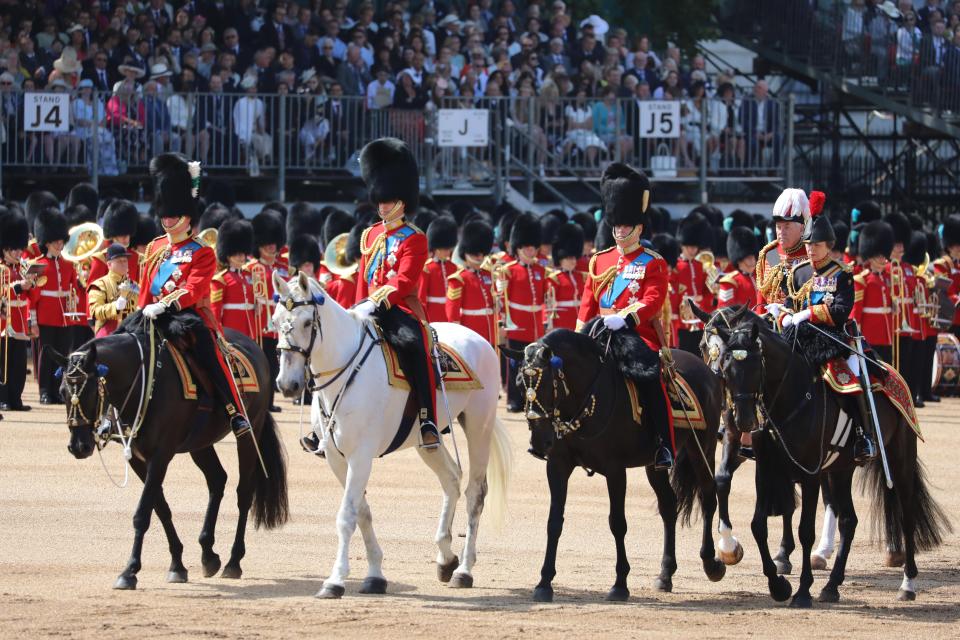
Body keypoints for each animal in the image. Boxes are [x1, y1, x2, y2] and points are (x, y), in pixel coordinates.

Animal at [54, 310, 286, 592]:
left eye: (88, 391)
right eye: (62, 392)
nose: (79, 446)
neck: (144, 381)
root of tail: (253, 346)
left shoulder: (161, 454)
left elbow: (143, 512)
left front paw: (129, 571)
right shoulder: (139, 459)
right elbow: (160, 508)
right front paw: (177, 564)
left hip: (249, 431)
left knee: (244, 493)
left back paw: (233, 560)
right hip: (200, 441)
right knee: (217, 480)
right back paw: (208, 554)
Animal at [272, 274, 510, 600]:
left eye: (308, 322)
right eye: (275, 321)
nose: (288, 384)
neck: (347, 368)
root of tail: (478, 338)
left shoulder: (360, 456)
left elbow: (347, 516)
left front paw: (335, 580)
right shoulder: (336, 458)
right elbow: (362, 513)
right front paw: (375, 575)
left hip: (478, 426)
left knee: (475, 493)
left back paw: (464, 569)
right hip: (428, 440)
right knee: (451, 478)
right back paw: (445, 558)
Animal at [516, 328, 720, 604]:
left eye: (548, 384)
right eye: (520, 384)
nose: (539, 443)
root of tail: (704, 367)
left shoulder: (614, 470)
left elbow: (617, 523)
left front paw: (620, 584)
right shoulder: (558, 466)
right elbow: (554, 522)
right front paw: (544, 582)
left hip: (702, 449)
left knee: (709, 496)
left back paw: (711, 563)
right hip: (655, 463)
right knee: (669, 506)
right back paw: (665, 574)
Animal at [692, 304, 948, 604]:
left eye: (755, 364)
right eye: (709, 350)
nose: (741, 417)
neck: (788, 395)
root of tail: (892, 373)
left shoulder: (809, 472)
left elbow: (805, 529)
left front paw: (802, 589)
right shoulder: (764, 463)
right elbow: (755, 518)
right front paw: (772, 579)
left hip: (899, 459)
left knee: (905, 515)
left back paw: (907, 583)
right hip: (841, 469)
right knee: (849, 519)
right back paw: (832, 585)